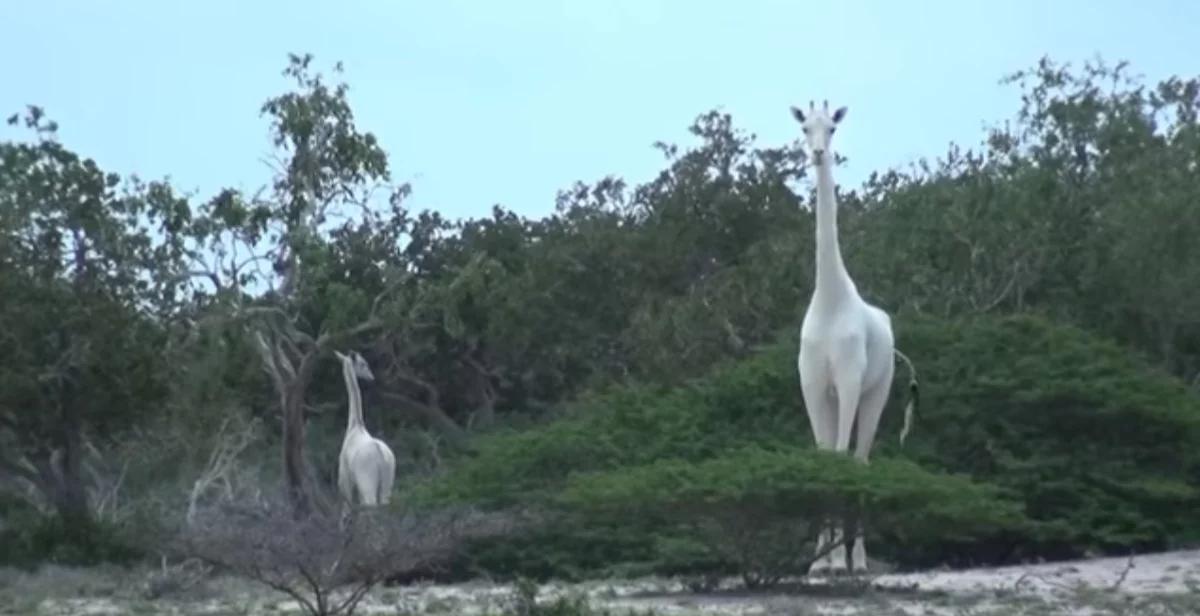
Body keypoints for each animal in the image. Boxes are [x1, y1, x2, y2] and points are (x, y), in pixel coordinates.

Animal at [333, 348, 398, 506]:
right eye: (363, 363)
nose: (371, 377)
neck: (354, 425)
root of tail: (381, 457)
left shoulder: (345, 481)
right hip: (387, 482)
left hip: (366, 482)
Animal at [787, 100, 916, 576]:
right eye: (804, 128)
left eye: (833, 127)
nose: (818, 153)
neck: (830, 298)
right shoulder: (812, 385)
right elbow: (823, 456)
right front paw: (816, 564)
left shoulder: (846, 381)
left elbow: (842, 458)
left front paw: (839, 562)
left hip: (875, 391)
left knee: (861, 460)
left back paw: (858, 559)